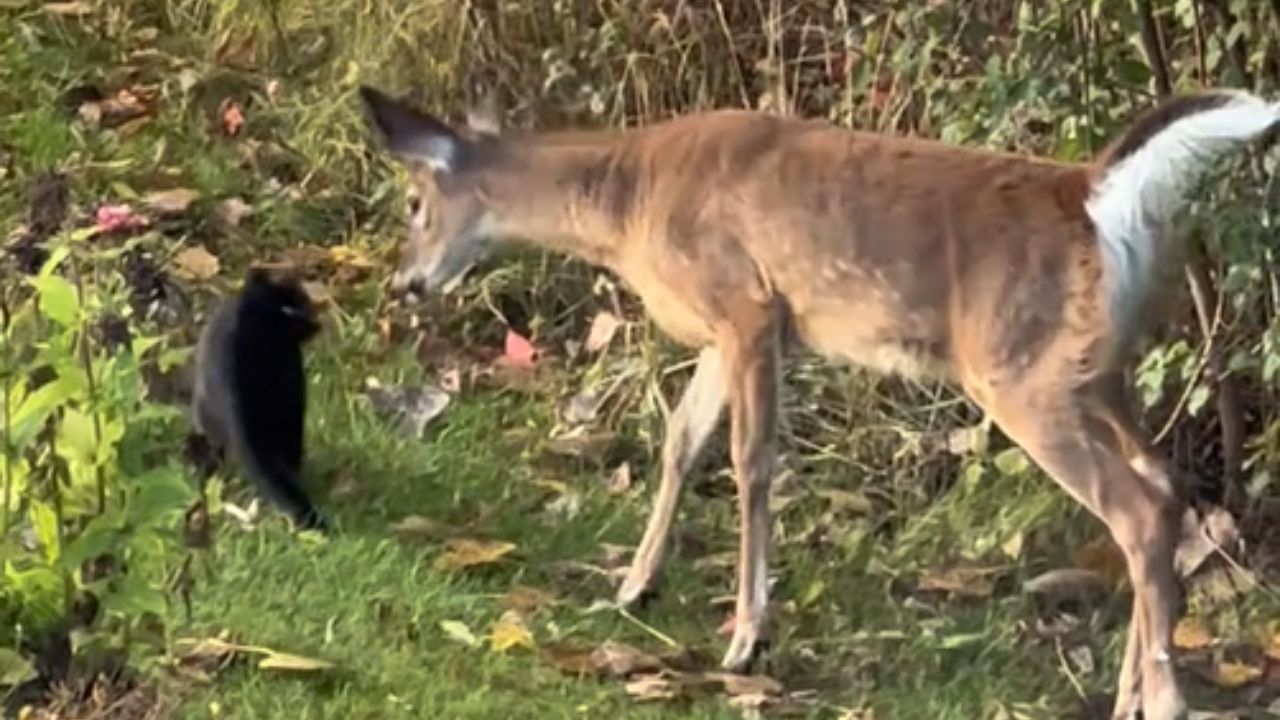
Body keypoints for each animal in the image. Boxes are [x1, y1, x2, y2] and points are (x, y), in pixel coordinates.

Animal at [360, 81, 1280, 712]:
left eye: (413, 202)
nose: (405, 285)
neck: (628, 202)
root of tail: (1090, 197)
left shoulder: (747, 303)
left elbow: (750, 460)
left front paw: (744, 638)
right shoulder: (724, 331)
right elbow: (680, 439)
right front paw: (633, 586)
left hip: (1024, 373)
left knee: (1138, 509)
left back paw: (1160, 699)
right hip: (1100, 374)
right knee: (1164, 489)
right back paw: (1129, 691)